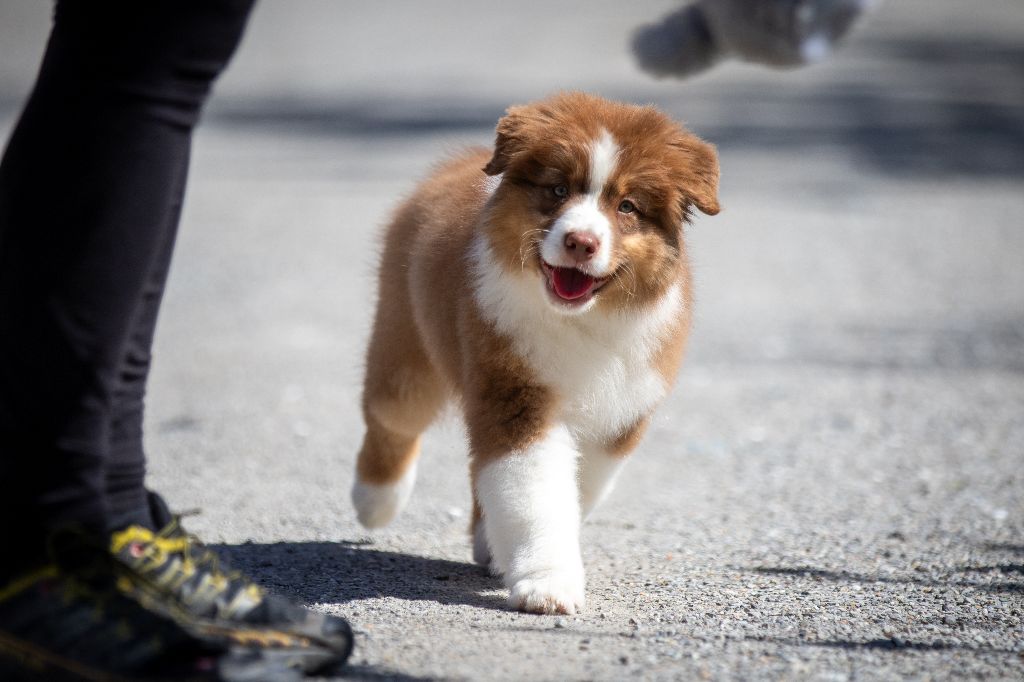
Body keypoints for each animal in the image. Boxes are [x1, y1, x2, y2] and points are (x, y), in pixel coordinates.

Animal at [351, 92, 719, 614]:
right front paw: (548, 587)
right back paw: (374, 503)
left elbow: (575, 487)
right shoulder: (515, 392)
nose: (580, 242)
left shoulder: (622, 411)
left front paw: (518, 561)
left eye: (627, 206)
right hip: (405, 342)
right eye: (558, 190)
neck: (581, 318)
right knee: (392, 419)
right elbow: (536, 491)